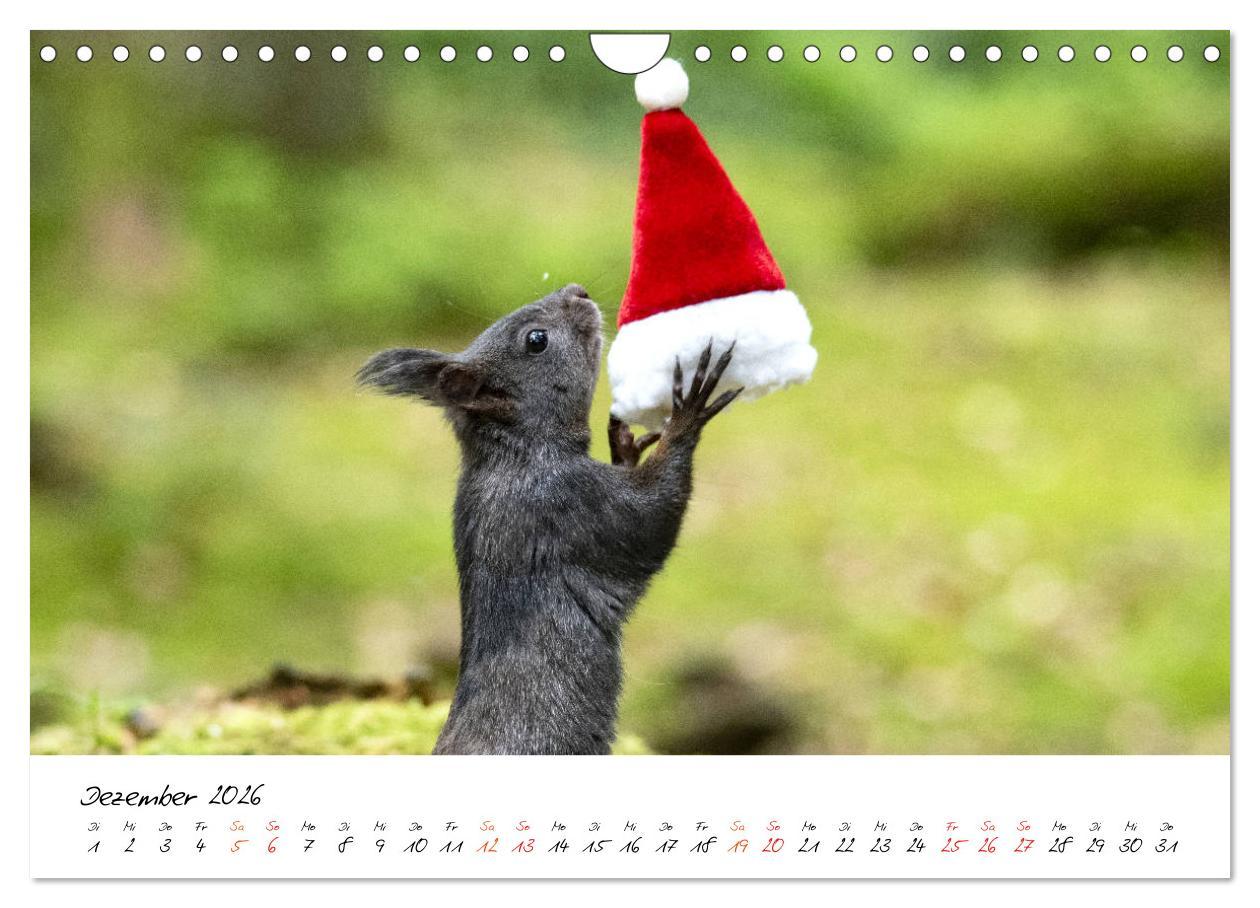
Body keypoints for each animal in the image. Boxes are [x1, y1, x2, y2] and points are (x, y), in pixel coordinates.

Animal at [357, 283, 740, 754]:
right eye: (536, 340)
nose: (577, 291)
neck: (517, 453)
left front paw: (626, 445)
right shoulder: (570, 505)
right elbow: (651, 520)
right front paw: (686, 415)